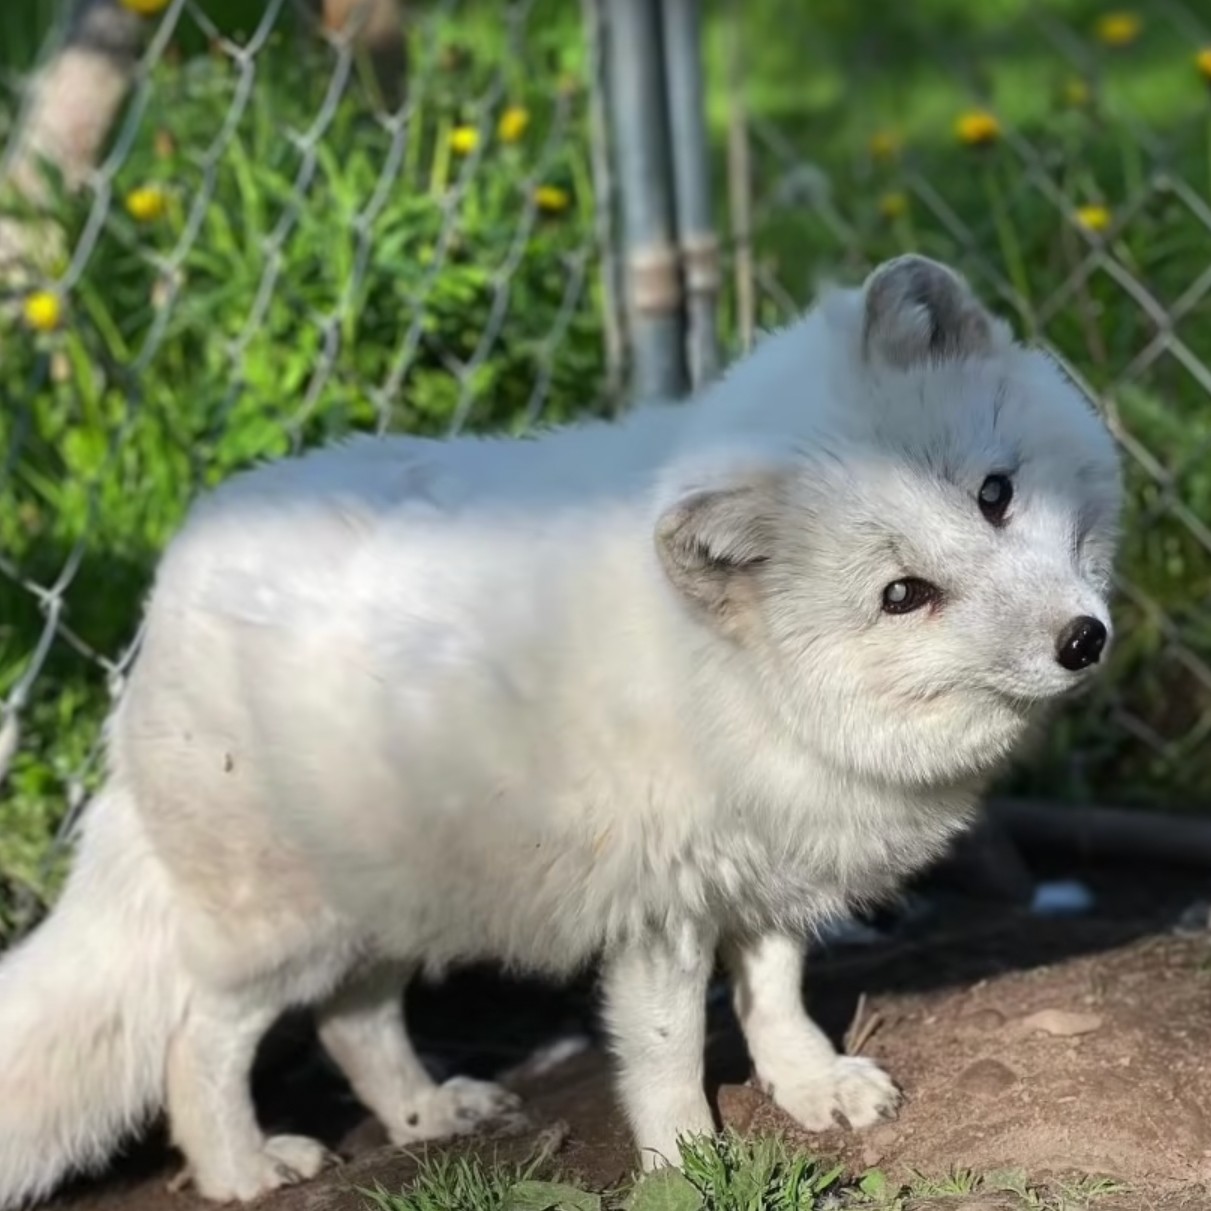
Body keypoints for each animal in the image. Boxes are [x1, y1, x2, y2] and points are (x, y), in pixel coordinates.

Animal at [0, 253, 1114, 1201]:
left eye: (994, 494)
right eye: (901, 595)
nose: (1083, 639)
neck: (736, 677)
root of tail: (162, 600)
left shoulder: (767, 873)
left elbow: (776, 996)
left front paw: (809, 1082)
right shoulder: (661, 909)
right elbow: (666, 1050)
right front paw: (686, 1164)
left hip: (397, 897)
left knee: (353, 1022)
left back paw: (425, 1114)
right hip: (278, 927)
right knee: (199, 1040)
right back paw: (240, 1167)